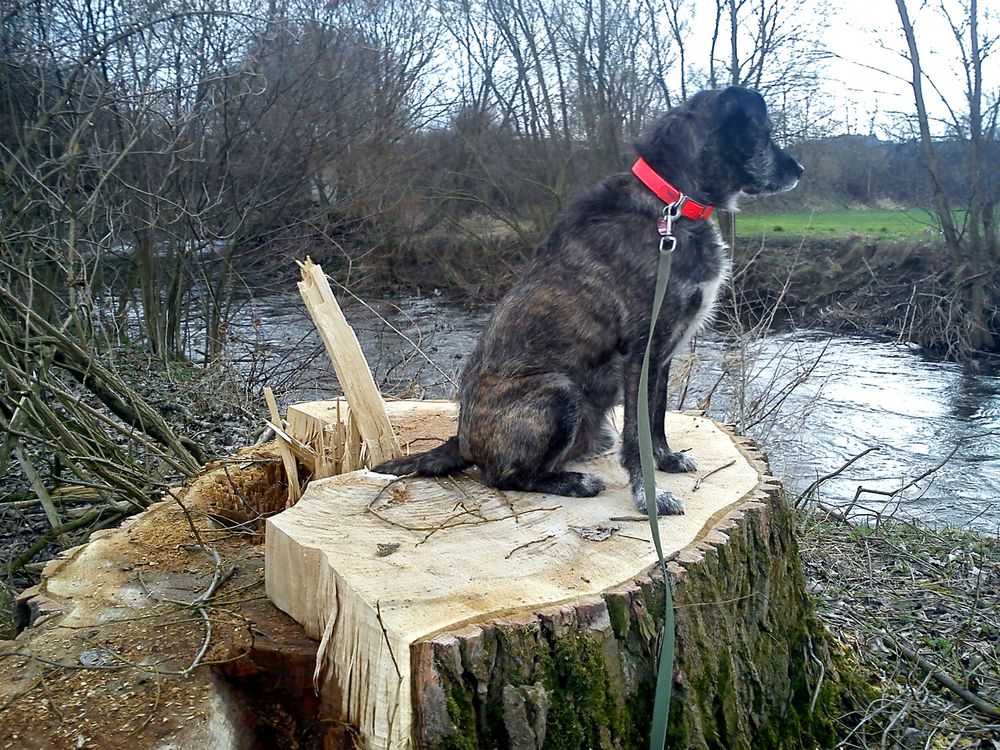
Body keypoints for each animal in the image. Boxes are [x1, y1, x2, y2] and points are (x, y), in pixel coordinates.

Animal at [376, 85, 804, 516]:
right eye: (765, 133)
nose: (800, 170)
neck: (672, 204)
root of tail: (461, 439)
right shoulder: (641, 354)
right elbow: (637, 435)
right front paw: (649, 496)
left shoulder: (663, 353)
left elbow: (657, 416)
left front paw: (666, 460)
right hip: (558, 390)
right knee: (503, 476)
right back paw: (573, 482)